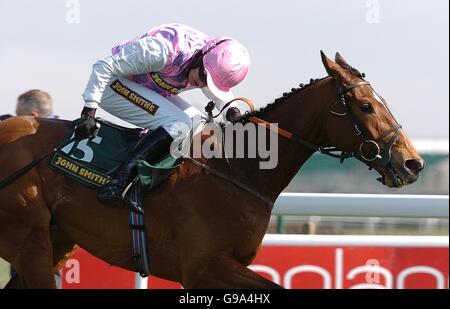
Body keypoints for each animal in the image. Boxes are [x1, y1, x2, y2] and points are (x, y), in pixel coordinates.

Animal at [0, 51, 424, 288]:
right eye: (366, 107)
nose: (412, 162)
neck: (239, 172)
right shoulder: (204, 268)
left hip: (54, 240)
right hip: (30, 241)